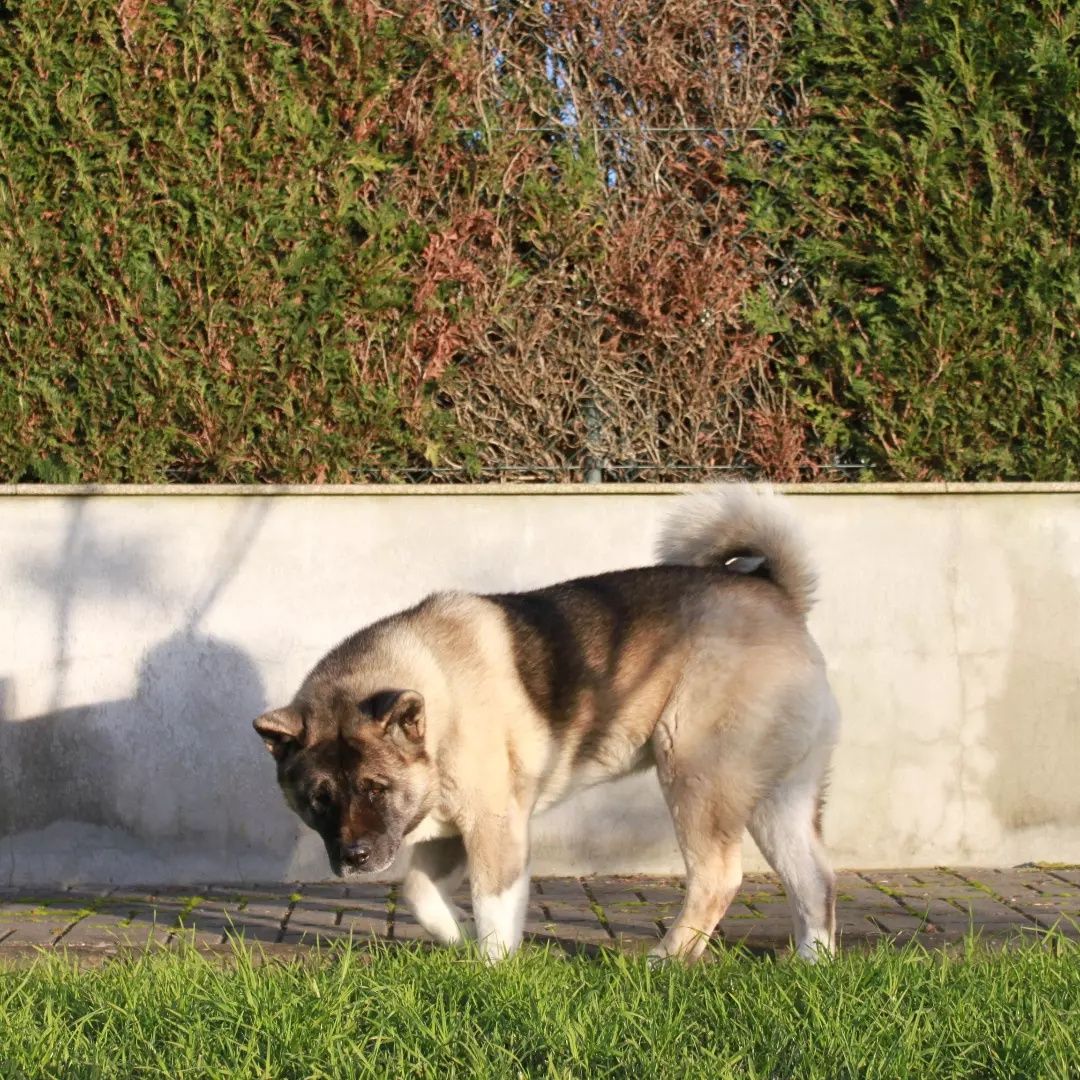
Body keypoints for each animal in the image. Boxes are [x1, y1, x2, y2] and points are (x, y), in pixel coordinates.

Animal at [254, 486, 842, 959]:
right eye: (319, 798)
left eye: (375, 788)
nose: (354, 858)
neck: (439, 700)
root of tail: (778, 594)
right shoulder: (449, 833)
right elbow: (421, 894)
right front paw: (459, 936)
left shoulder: (494, 827)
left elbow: (494, 905)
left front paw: (493, 968)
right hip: (777, 799)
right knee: (815, 879)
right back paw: (811, 963)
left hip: (698, 776)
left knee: (718, 878)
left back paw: (667, 960)